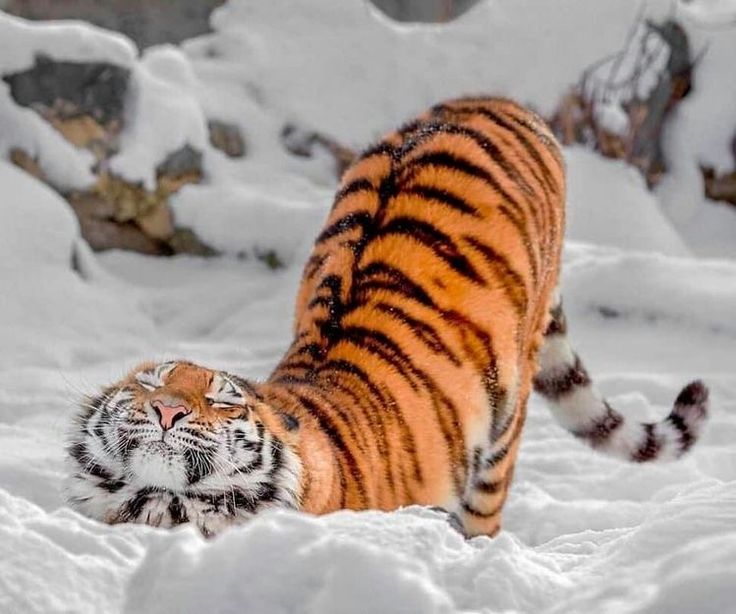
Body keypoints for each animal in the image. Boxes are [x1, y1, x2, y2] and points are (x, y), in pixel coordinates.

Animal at [66, 96, 712, 540]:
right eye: (150, 383)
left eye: (223, 400)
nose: (167, 410)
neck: (166, 505)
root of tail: (495, 100)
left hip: (505, 417)